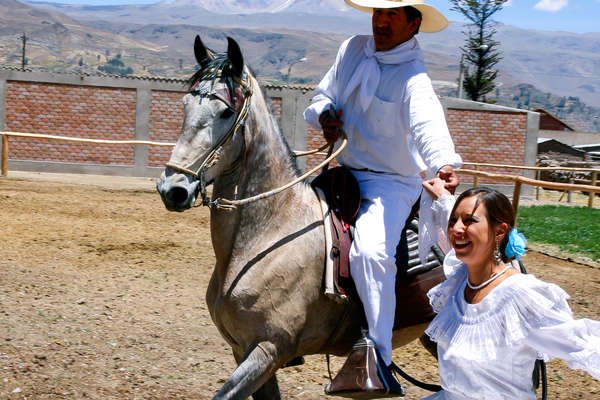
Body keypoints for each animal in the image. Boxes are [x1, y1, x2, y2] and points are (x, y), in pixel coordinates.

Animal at [157, 36, 434, 398]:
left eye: (226, 111)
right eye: (186, 105)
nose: (173, 188)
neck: (271, 232)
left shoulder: (269, 349)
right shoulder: (245, 351)